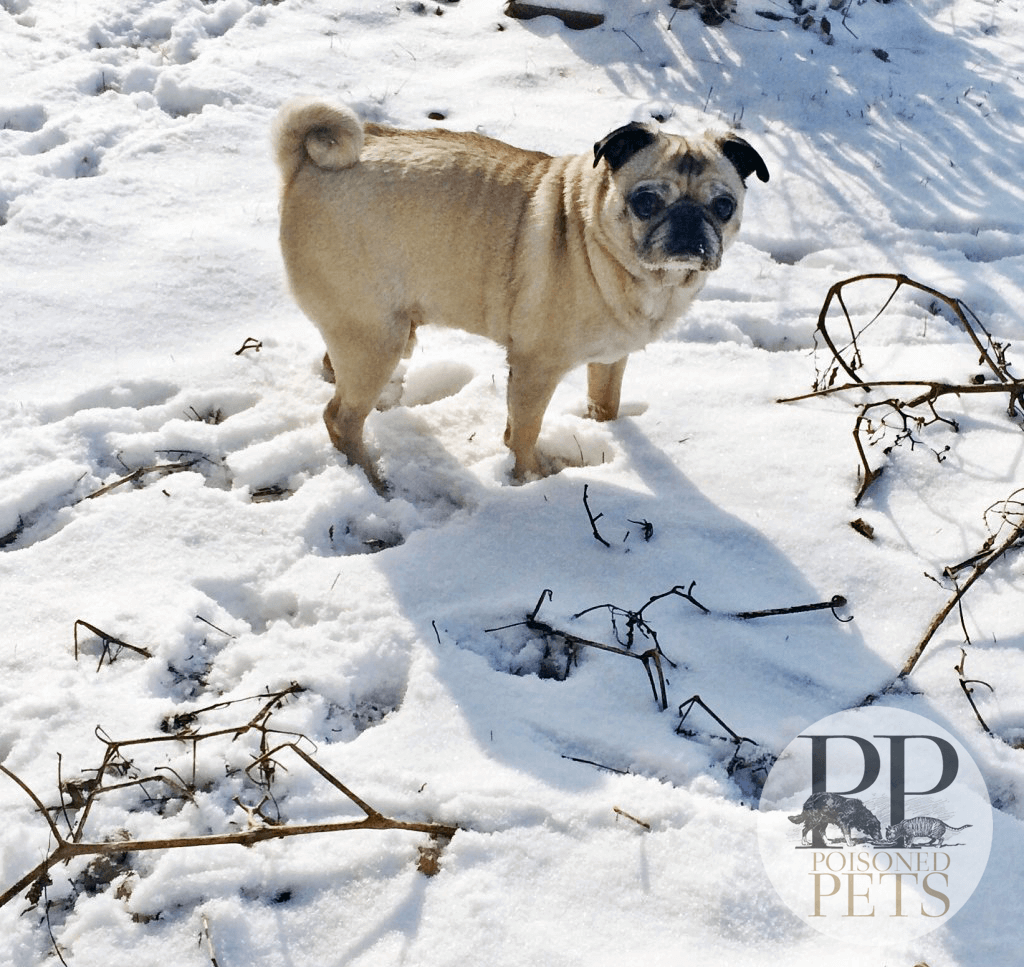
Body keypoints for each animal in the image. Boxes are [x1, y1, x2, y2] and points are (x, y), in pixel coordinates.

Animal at [274, 99, 770, 491]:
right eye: (645, 202)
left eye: (724, 206)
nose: (688, 222)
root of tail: (305, 162)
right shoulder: (536, 367)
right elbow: (525, 431)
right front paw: (530, 477)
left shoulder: (610, 360)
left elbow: (604, 404)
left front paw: (605, 432)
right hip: (376, 338)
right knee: (340, 419)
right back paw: (372, 480)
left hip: (374, 327)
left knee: (335, 372)